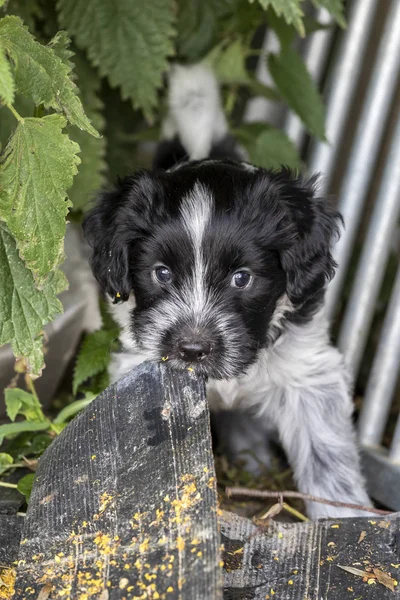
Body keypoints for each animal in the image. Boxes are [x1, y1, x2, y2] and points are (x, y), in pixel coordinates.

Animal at [83, 63, 372, 516]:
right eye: (161, 273)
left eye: (242, 278)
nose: (192, 350)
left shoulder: (310, 376)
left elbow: (329, 460)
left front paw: (346, 520)